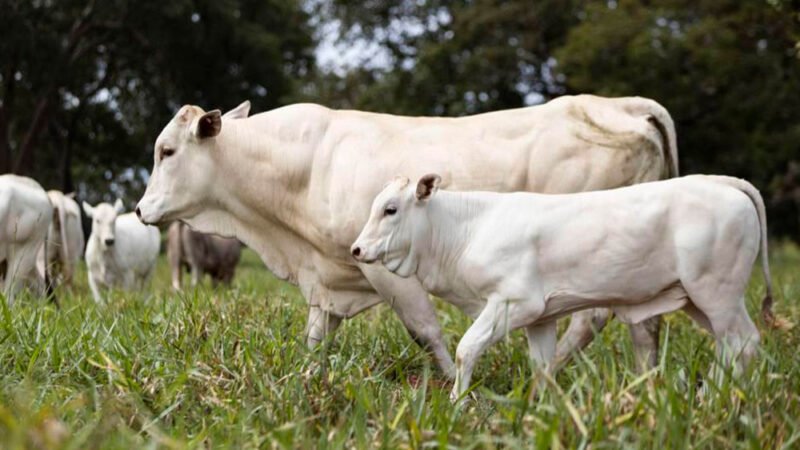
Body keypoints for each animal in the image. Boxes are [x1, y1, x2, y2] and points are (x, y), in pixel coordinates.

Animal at [138, 95, 680, 376]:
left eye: (166, 151)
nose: (142, 209)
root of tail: (621, 105)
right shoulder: (329, 276)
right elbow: (316, 336)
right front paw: (304, 377)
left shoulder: (382, 268)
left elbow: (424, 329)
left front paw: (455, 384)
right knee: (643, 325)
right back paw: (644, 383)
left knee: (595, 319)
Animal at [354, 174, 772, 400]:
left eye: (390, 209)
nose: (356, 249)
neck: (467, 227)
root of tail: (719, 181)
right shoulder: (541, 317)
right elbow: (542, 366)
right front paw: (539, 404)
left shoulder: (512, 302)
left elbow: (466, 349)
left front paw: (458, 400)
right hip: (699, 301)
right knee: (732, 345)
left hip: (717, 293)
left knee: (742, 342)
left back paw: (711, 396)